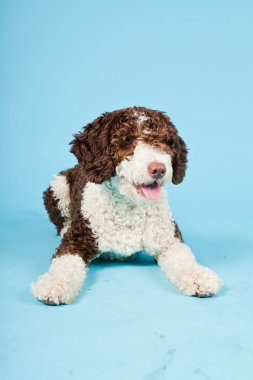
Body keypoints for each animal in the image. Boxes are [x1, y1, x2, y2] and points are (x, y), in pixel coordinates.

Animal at [32, 107, 223, 306]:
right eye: (127, 140)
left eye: (164, 141)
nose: (158, 169)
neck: (129, 207)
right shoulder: (77, 240)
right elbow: (65, 262)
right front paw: (55, 284)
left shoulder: (168, 240)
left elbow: (184, 258)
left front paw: (198, 276)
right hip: (58, 186)